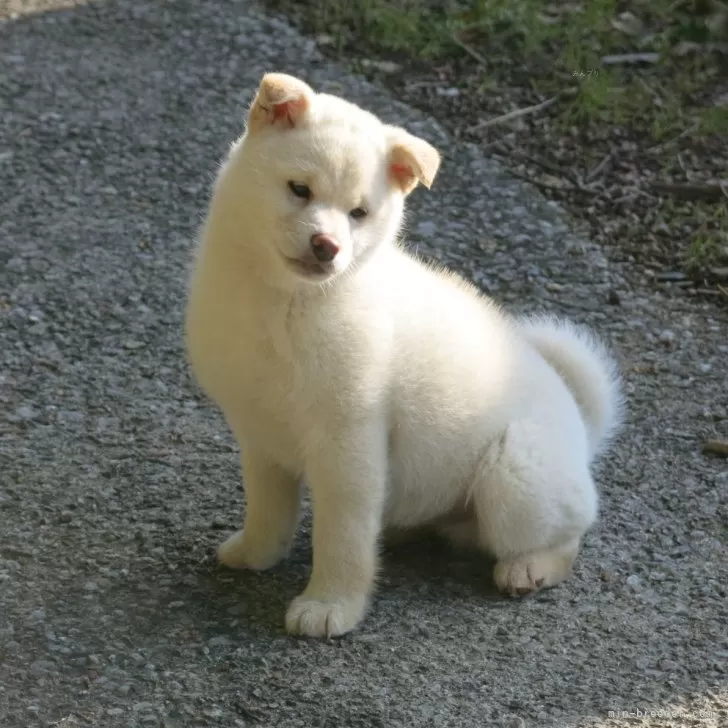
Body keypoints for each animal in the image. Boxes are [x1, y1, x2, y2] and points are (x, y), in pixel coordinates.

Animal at [185, 71, 624, 636]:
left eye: (359, 214)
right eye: (299, 189)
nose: (327, 245)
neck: (286, 300)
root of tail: (582, 429)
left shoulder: (348, 440)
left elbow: (343, 535)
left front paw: (331, 605)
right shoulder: (260, 431)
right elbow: (268, 506)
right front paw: (256, 552)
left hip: (514, 479)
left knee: (567, 534)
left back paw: (530, 567)